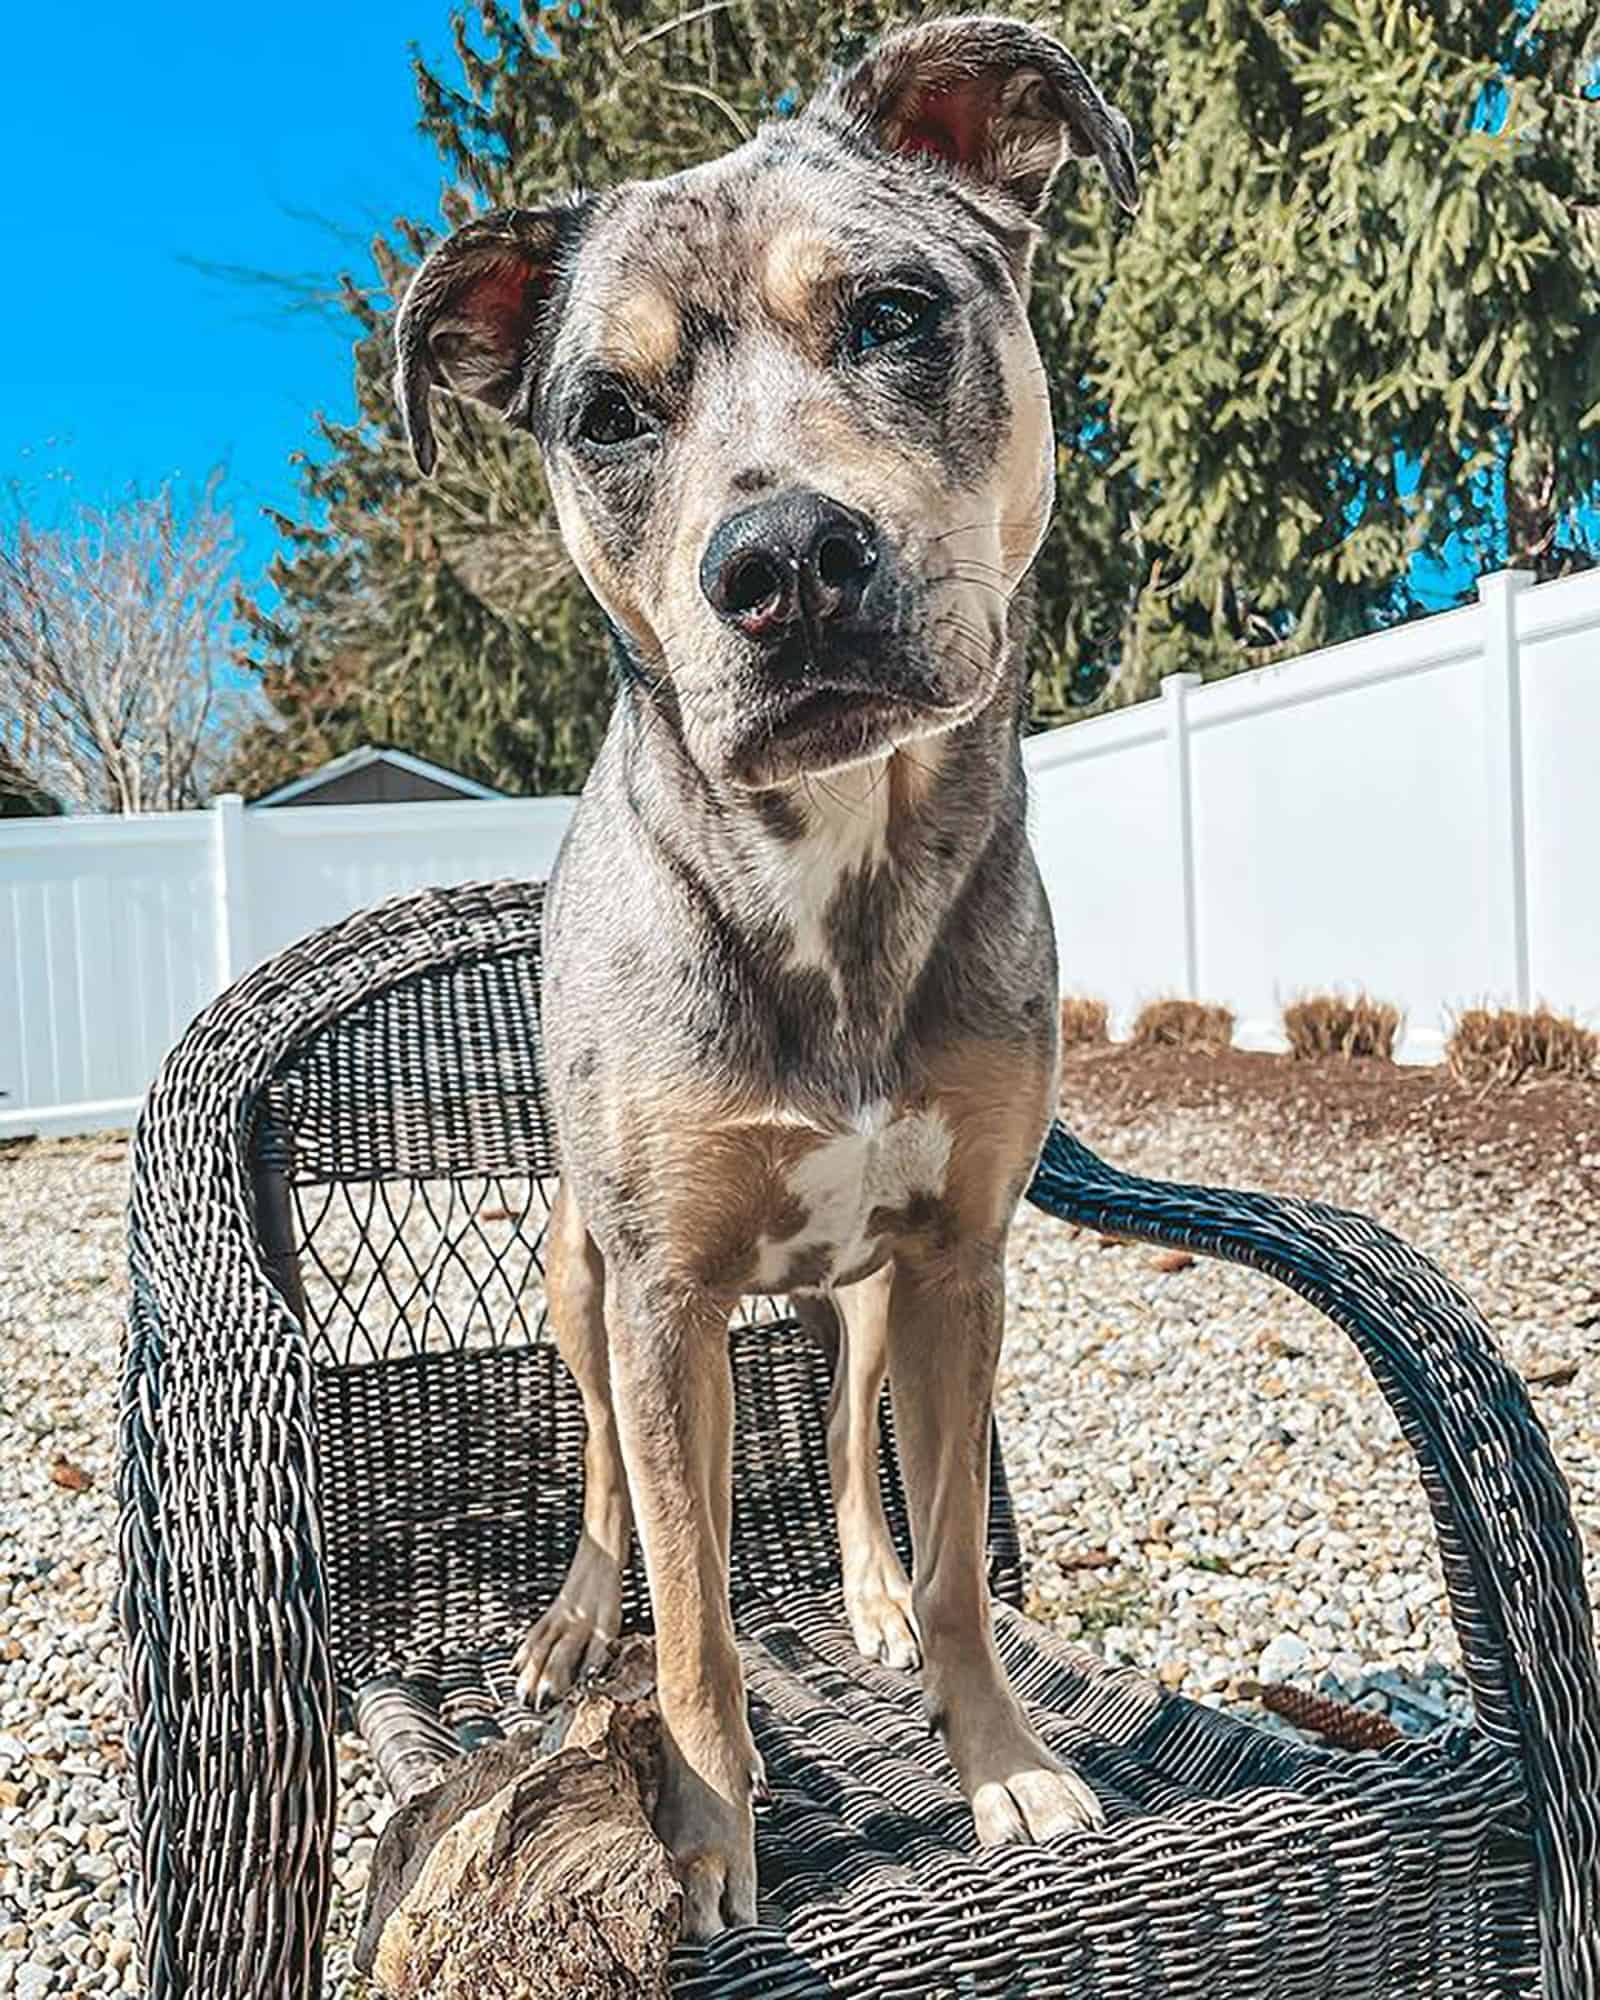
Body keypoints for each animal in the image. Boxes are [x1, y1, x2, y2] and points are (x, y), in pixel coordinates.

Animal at [392, 19, 1128, 1936]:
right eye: (606, 415)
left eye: (891, 313)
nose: (784, 563)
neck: (830, 880)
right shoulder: (660, 1298)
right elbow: (702, 1609)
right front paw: (708, 1832)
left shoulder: (958, 1260)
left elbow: (953, 1559)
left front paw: (999, 1758)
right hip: (581, 1274)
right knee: (602, 1480)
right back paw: (575, 1621)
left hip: (866, 1297)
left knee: (863, 1457)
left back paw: (859, 1588)